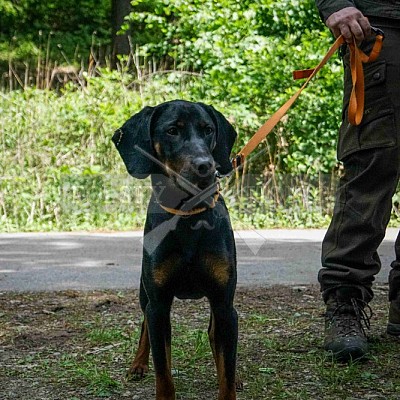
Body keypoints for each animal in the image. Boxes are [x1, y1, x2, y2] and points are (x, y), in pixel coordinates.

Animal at [111, 101, 239, 400]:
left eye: (208, 129)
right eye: (172, 130)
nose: (206, 165)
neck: (188, 216)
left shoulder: (224, 302)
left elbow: (227, 369)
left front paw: (229, 379)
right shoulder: (159, 304)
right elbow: (163, 371)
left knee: (214, 334)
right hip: (144, 293)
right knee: (144, 324)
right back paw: (138, 364)